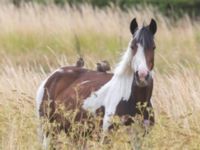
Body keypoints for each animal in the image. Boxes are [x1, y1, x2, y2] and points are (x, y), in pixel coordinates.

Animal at [36, 17, 157, 148]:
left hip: (75, 134)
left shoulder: (139, 139)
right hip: (49, 131)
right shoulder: (107, 139)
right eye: (132, 47)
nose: (142, 76)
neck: (133, 100)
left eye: (153, 47)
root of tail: (50, 78)